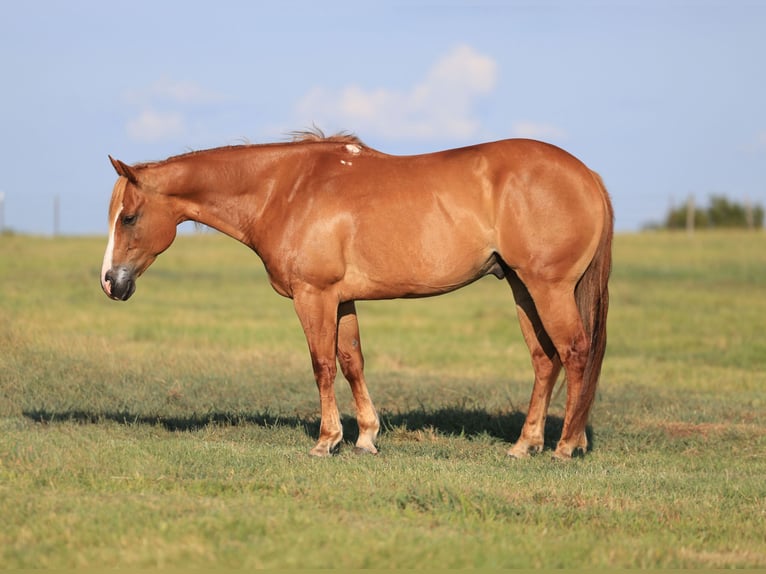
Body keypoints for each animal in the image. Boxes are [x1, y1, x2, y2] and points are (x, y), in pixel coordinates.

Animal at [101, 131, 613, 460]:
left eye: (128, 217)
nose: (111, 282)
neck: (286, 189)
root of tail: (586, 174)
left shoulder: (314, 295)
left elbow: (322, 364)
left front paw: (327, 440)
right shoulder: (341, 299)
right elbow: (351, 361)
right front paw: (366, 437)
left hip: (548, 288)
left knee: (574, 351)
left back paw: (565, 446)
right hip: (522, 287)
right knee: (544, 359)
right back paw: (526, 445)